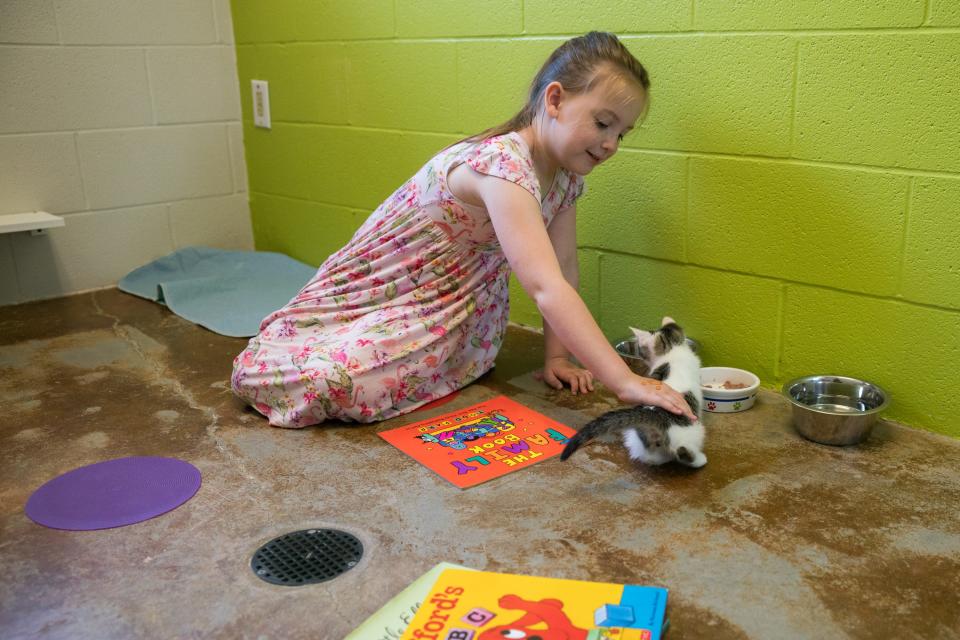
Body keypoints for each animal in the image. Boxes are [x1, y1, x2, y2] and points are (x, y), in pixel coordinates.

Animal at [564, 318, 704, 468]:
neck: (672, 351)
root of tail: (654, 414)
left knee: (652, 458)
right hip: (693, 431)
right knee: (682, 452)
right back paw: (698, 459)